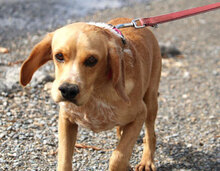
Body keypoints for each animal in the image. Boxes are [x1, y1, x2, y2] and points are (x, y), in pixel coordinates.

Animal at [19, 18, 162, 170]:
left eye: (92, 60)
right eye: (59, 56)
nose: (68, 90)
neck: (94, 95)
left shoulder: (140, 114)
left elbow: (118, 157)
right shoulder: (66, 119)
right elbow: (64, 159)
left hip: (150, 102)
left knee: (150, 135)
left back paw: (147, 161)